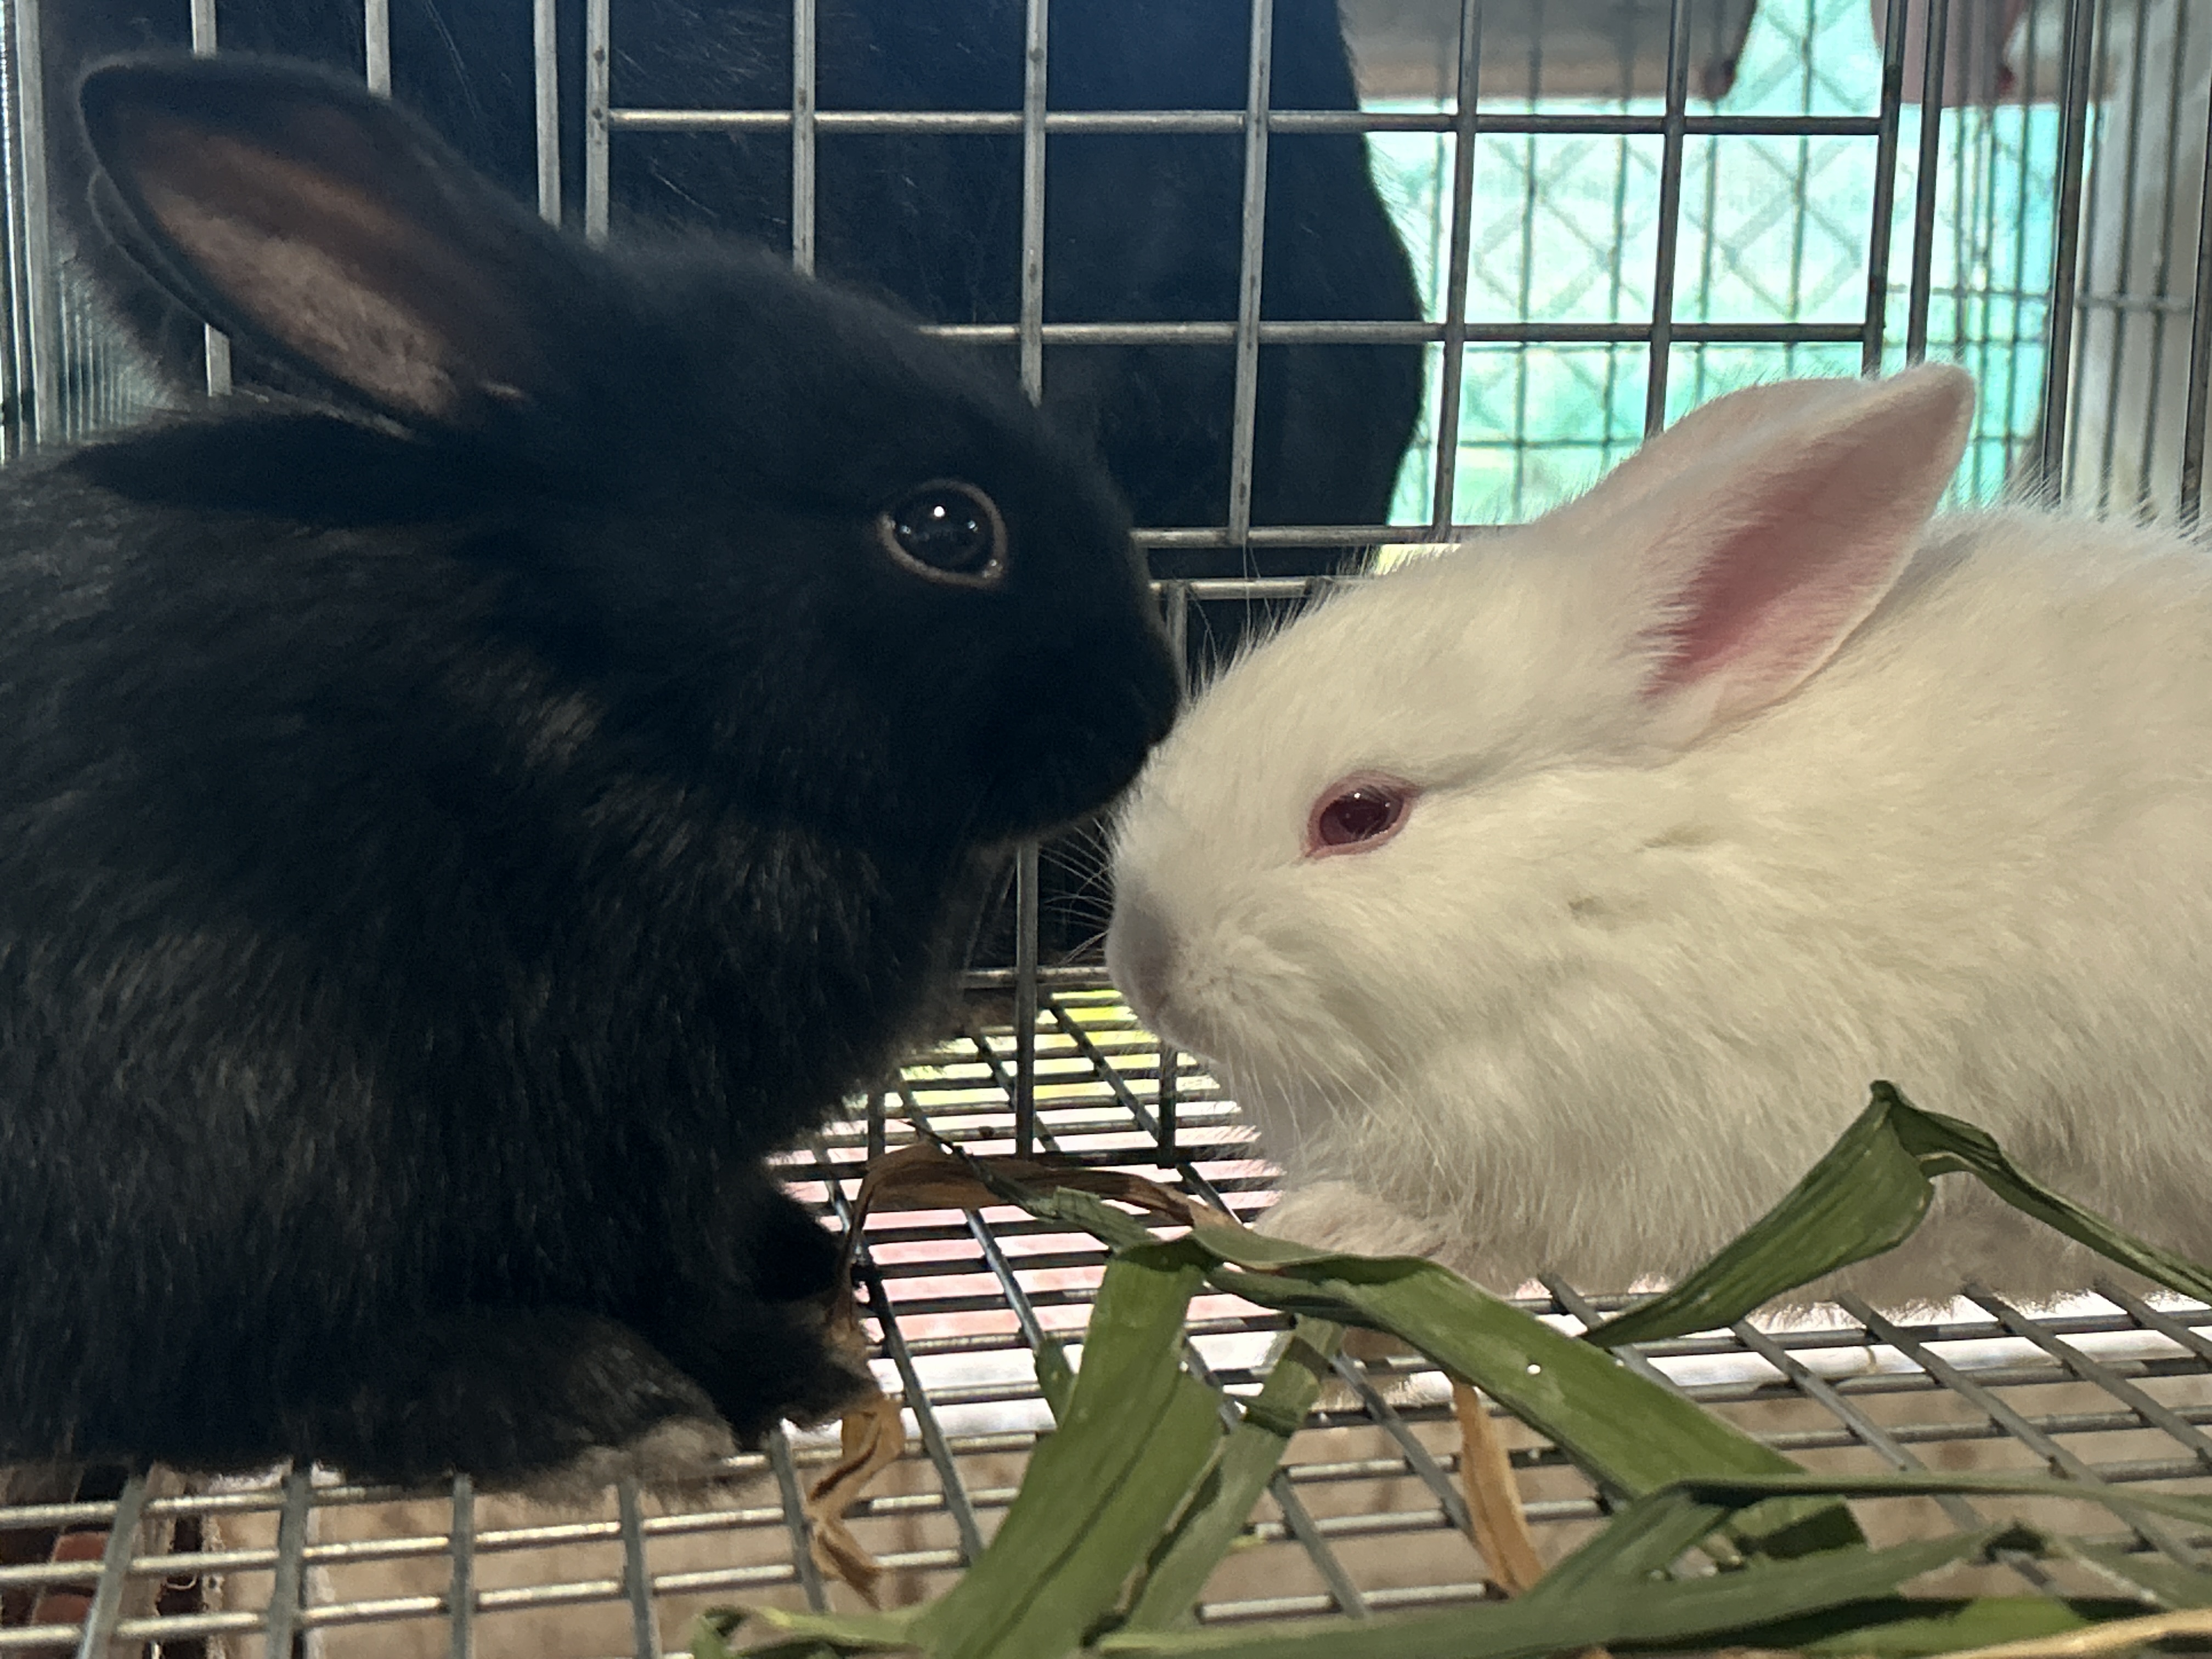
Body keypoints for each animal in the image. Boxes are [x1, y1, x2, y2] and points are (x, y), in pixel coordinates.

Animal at [0, 53, 1178, 1491]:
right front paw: (781, 1371)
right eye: (947, 528)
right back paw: (587, 1403)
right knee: (229, 1374)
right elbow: (660, 1273)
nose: (1150, 709)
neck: (632, 683)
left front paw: (804, 1254)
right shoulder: (610, 1129)